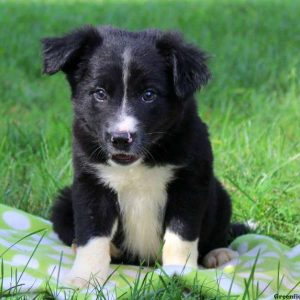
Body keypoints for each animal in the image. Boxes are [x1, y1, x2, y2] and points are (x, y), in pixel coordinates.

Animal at [42, 25, 248, 288]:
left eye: (148, 95)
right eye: (100, 93)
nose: (121, 138)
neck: (136, 165)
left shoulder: (189, 182)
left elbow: (181, 235)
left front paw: (180, 272)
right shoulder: (91, 184)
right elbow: (92, 235)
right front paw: (83, 278)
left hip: (220, 197)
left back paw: (218, 254)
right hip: (63, 202)